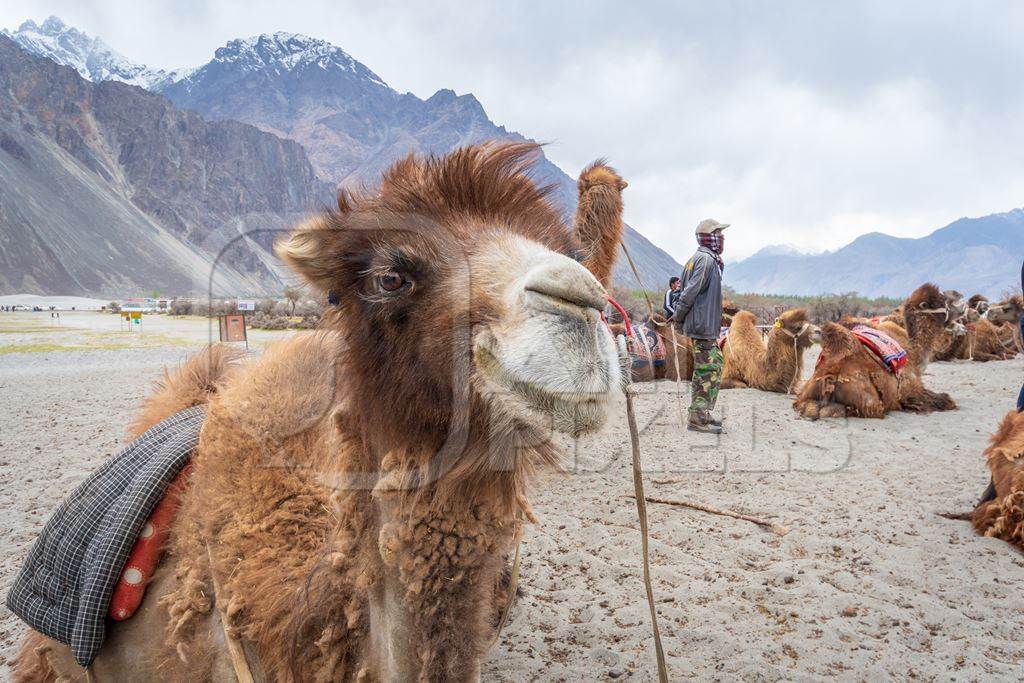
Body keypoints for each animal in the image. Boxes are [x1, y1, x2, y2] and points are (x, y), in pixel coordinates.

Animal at [790, 282, 958, 421]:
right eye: (941, 302)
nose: (959, 308)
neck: (915, 353)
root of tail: (829, 377)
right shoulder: (912, 391)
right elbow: (946, 399)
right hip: (872, 404)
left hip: (804, 395)